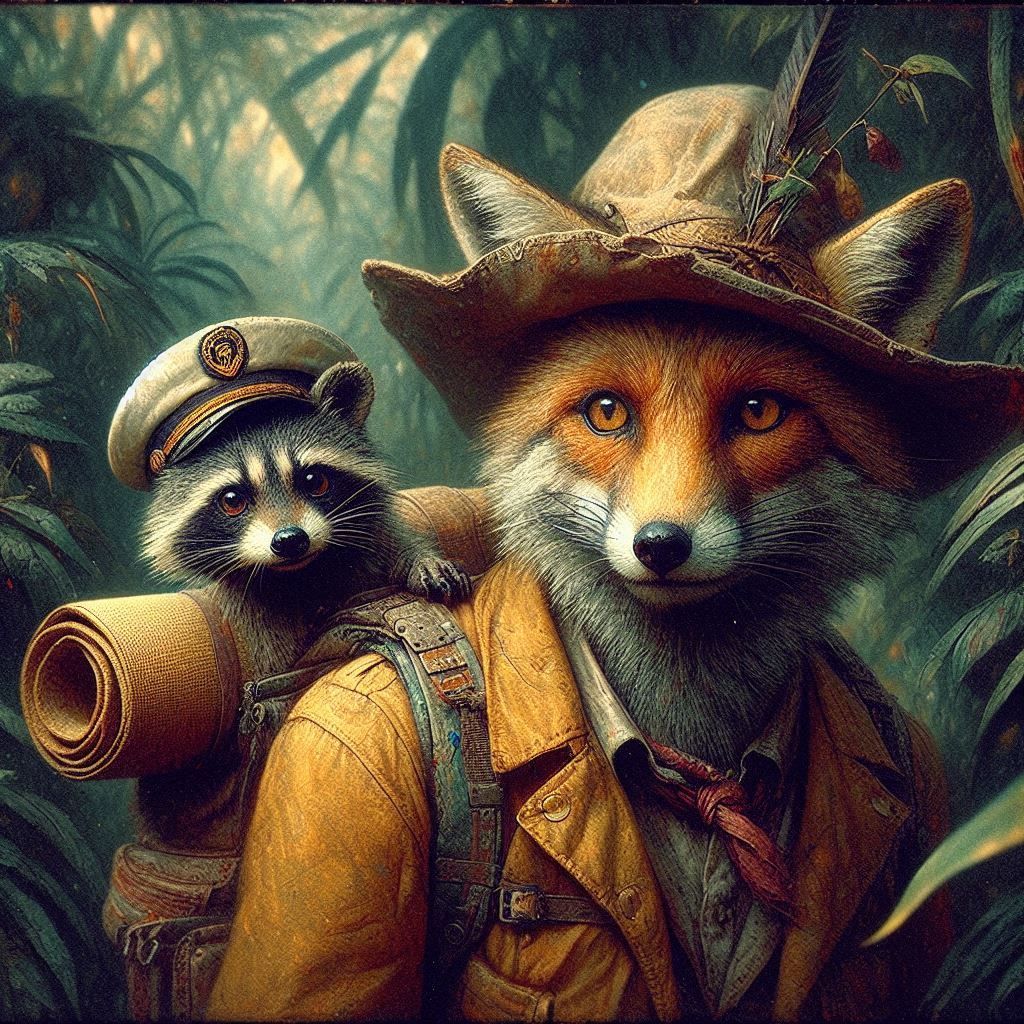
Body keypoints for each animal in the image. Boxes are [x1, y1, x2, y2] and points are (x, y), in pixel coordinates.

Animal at [141, 360, 471, 679]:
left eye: (314, 480)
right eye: (232, 500)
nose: (290, 540)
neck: (306, 573)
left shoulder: (375, 539)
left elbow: (399, 545)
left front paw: (424, 563)